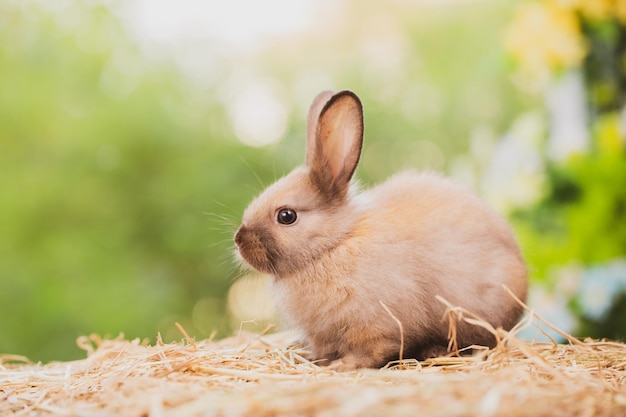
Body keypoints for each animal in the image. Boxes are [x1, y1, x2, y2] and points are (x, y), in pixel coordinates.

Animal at [234, 89, 528, 368]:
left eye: (286, 216)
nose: (239, 239)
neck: (333, 245)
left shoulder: (375, 327)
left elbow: (372, 351)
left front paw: (344, 366)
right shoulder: (322, 335)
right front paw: (319, 360)